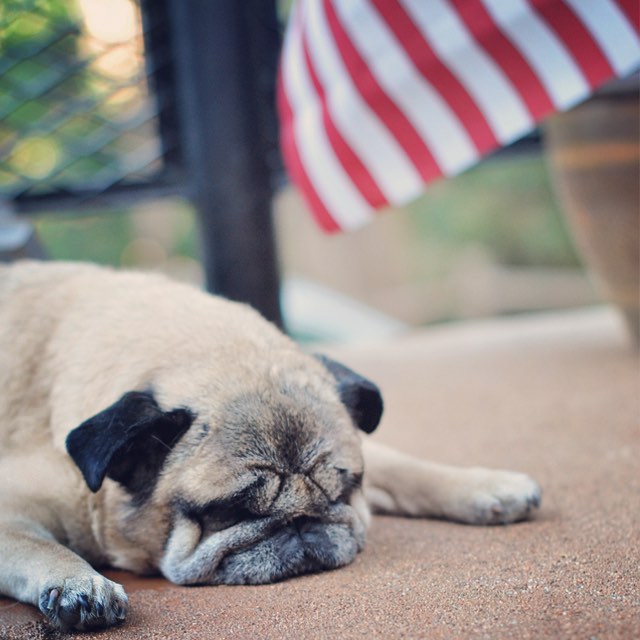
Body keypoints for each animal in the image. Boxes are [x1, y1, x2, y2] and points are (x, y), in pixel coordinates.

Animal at [0, 260, 540, 632]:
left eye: (342, 493)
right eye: (230, 511)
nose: (300, 525)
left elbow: (406, 467)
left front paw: (487, 486)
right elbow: (36, 545)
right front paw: (79, 584)